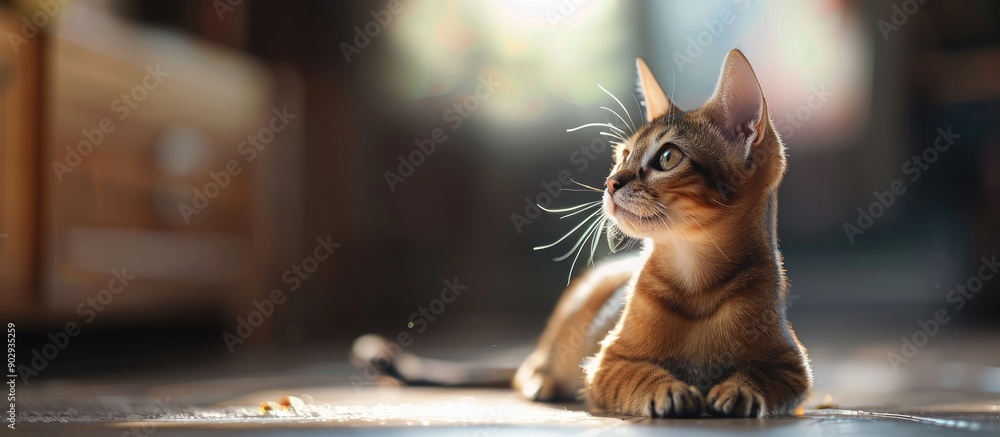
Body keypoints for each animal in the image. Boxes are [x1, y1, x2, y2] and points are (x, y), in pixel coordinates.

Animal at [352, 48, 812, 418]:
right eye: (623, 155)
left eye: (667, 157)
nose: (611, 182)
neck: (696, 283)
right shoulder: (604, 364)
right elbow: (635, 374)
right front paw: (666, 388)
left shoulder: (795, 368)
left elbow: (767, 377)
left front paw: (742, 389)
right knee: (526, 369)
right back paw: (541, 380)